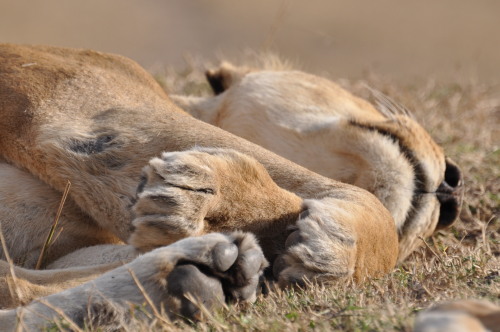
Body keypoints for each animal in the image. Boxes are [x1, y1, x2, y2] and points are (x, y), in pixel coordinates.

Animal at [0, 44, 460, 330]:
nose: (455, 185)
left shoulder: (68, 248)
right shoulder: (90, 113)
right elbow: (363, 204)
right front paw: (203, 198)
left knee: (19, 287)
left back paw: (197, 280)